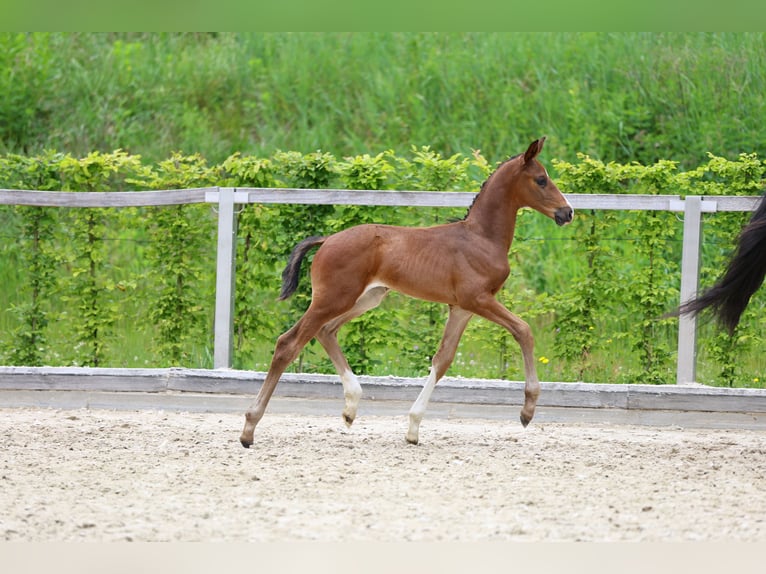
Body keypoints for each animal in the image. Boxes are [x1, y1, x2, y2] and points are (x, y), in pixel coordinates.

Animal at [243, 140, 572, 450]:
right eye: (541, 179)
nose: (567, 212)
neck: (481, 238)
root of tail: (327, 240)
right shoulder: (478, 300)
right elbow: (524, 330)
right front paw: (527, 411)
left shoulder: (461, 308)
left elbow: (443, 359)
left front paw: (413, 428)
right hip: (333, 298)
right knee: (289, 343)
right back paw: (249, 427)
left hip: (365, 298)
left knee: (325, 331)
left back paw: (351, 407)